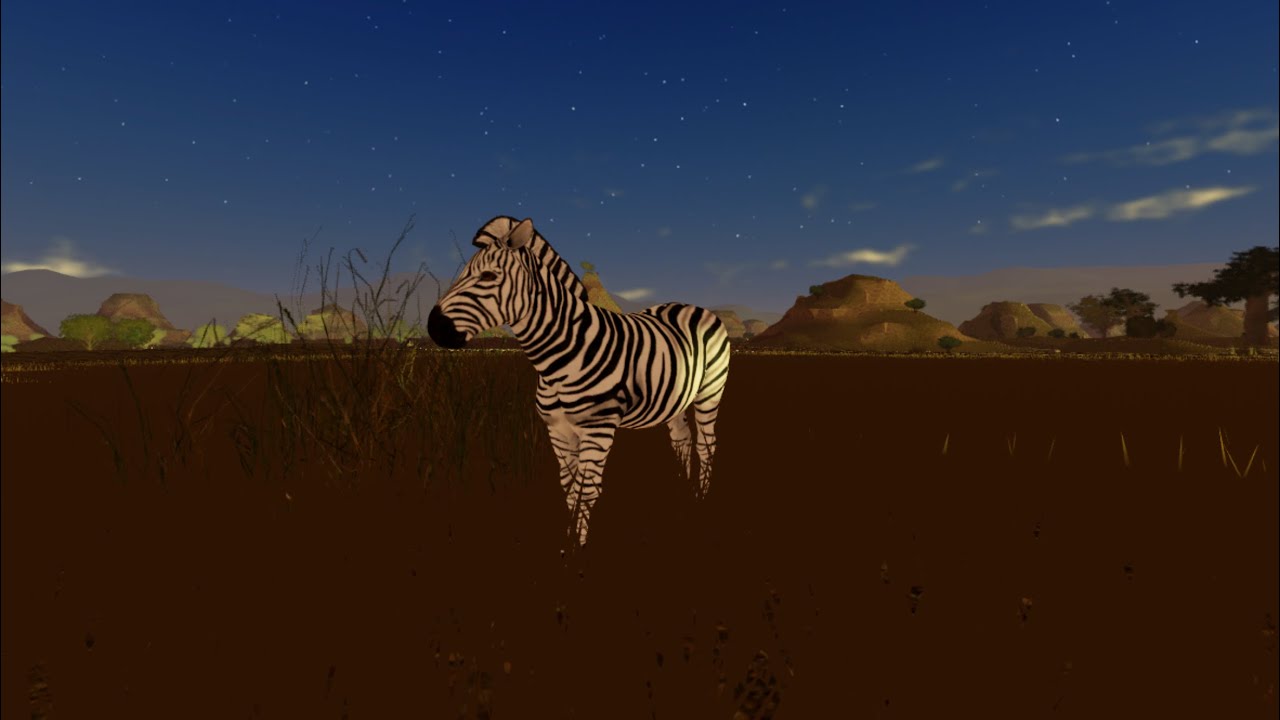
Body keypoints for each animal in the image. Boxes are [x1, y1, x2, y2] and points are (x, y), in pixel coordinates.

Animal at [427, 215, 731, 547]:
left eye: (488, 276)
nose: (433, 327)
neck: (559, 360)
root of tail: (693, 306)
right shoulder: (558, 431)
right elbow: (569, 488)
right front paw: (568, 541)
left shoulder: (597, 429)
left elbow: (586, 489)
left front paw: (577, 549)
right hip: (675, 397)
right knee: (681, 439)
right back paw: (681, 494)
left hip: (710, 392)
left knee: (706, 444)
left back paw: (700, 501)